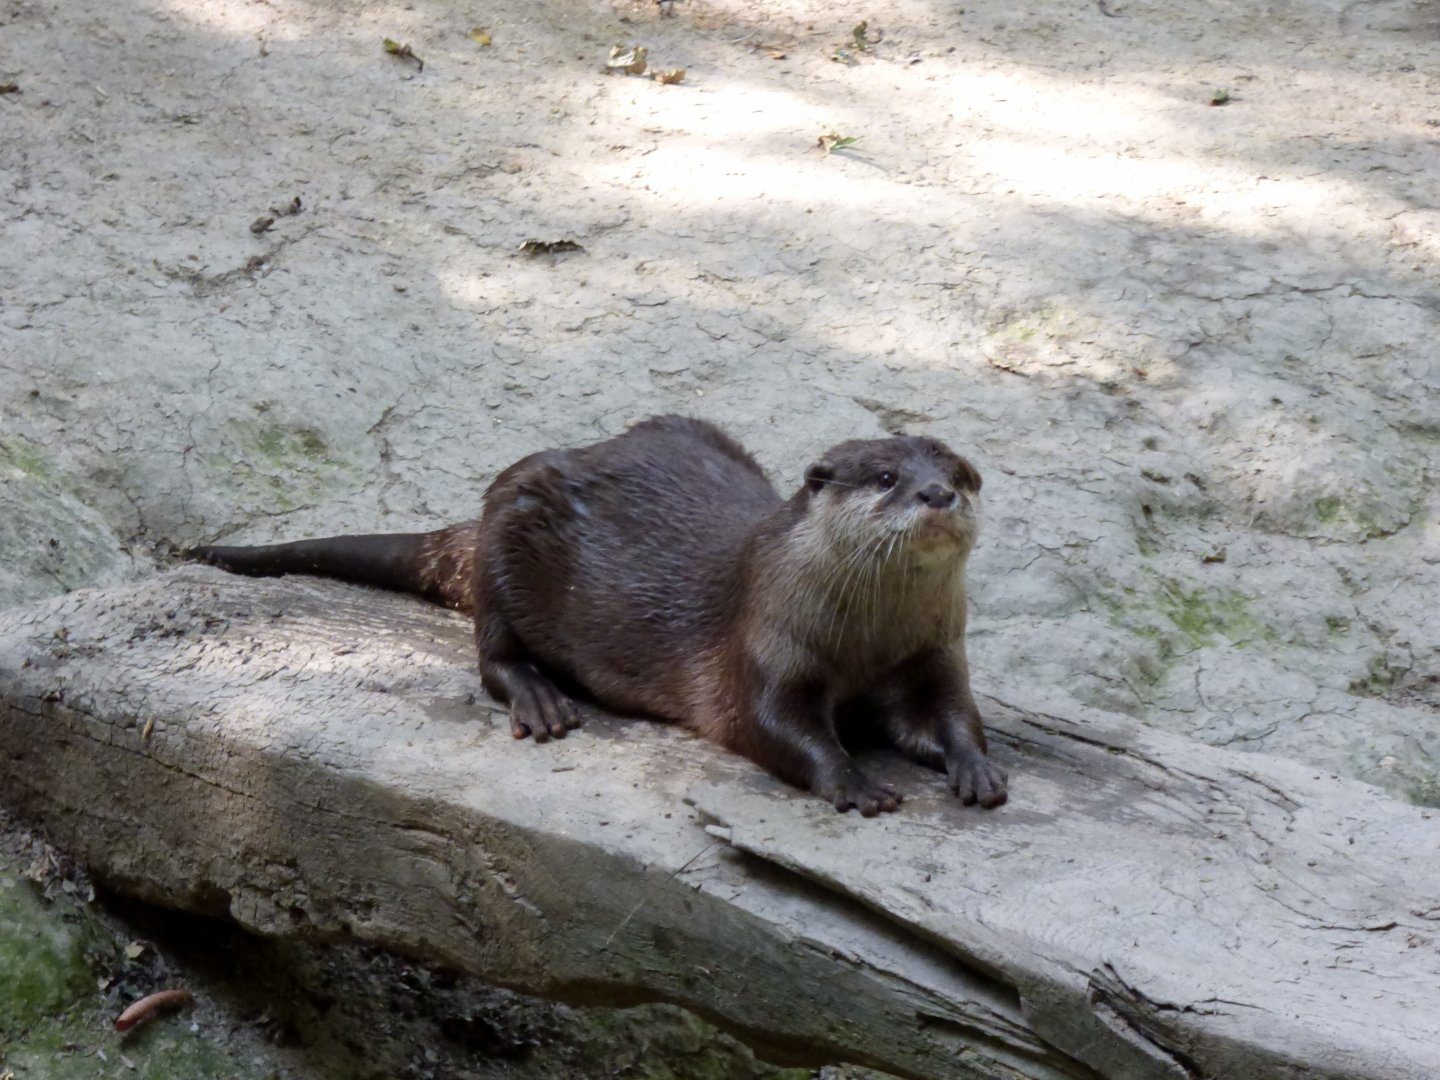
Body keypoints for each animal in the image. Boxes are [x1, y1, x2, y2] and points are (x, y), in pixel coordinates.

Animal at [191, 416, 1007, 816]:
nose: (938, 493)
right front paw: (854, 782)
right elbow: (778, 727)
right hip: (508, 529)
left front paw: (976, 767)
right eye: (886, 477)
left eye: (962, 475)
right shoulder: (766, 650)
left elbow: (950, 715)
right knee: (491, 655)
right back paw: (541, 699)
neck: (865, 640)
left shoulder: (933, 653)